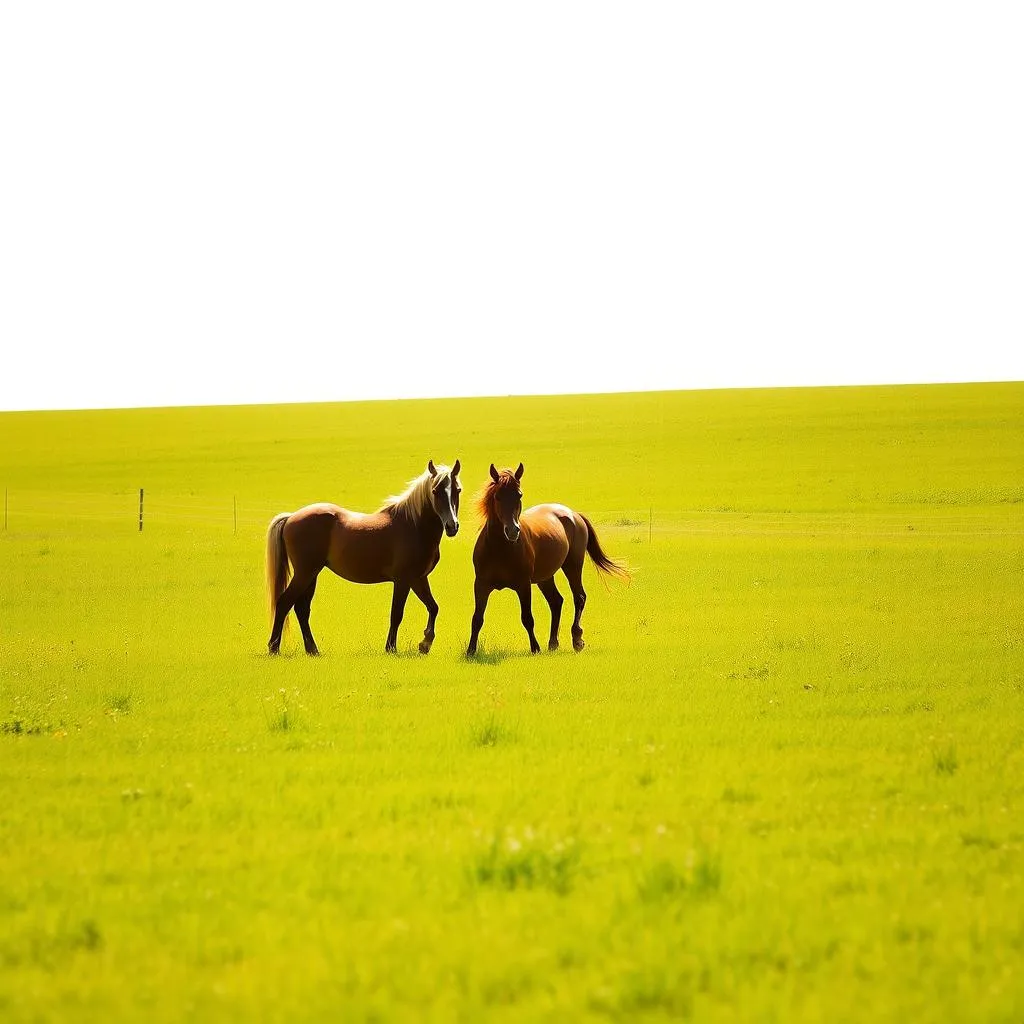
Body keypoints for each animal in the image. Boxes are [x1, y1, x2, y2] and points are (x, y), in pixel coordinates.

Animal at [266, 460, 461, 656]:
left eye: (457, 490)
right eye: (435, 491)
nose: (452, 526)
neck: (413, 525)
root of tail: (291, 517)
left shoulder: (418, 579)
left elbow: (433, 607)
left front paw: (425, 643)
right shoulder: (403, 580)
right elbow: (396, 614)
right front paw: (391, 648)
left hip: (311, 574)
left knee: (301, 609)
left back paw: (312, 650)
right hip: (305, 573)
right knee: (284, 603)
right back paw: (274, 648)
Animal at [467, 462, 629, 656]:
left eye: (519, 495)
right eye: (498, 496)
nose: (513, 531)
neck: (500, 548)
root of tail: (574, 514)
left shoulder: (523, 585)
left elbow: (527, 618)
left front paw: (535, 648)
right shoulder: (481, 585)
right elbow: (477, 618)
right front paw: (470, 651)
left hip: (573, 566)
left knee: (579, 597)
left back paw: (577, 639)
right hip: (545, 578)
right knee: (556, 601)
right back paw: (553, 643)